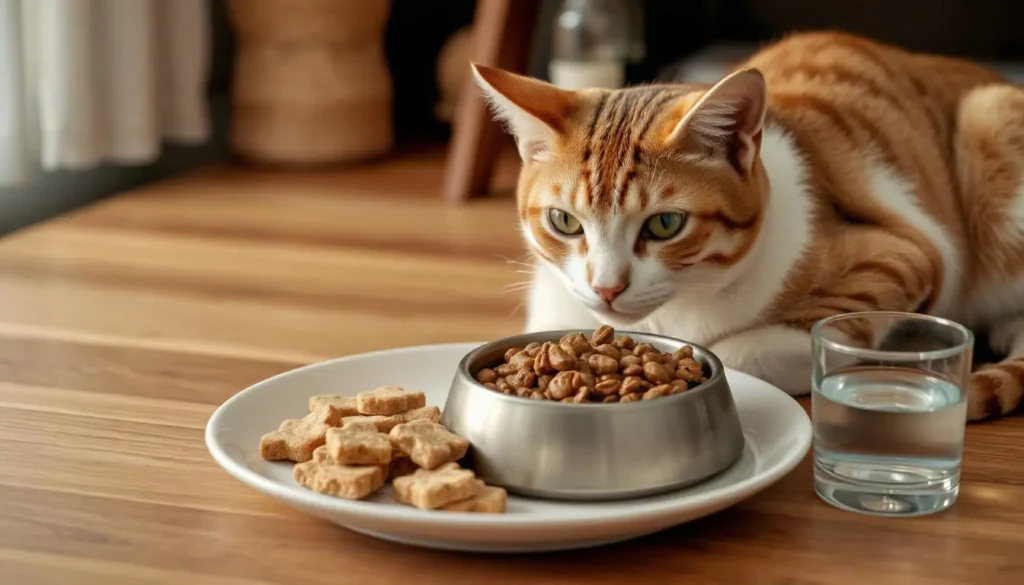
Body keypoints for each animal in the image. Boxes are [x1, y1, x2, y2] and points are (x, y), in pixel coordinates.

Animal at [471, 30, 1024, 422]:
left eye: (666, 224)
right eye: (564, 221)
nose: (607, 289)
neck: (668, 317)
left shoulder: (910, 254)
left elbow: (749, 352)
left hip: (989, 123)